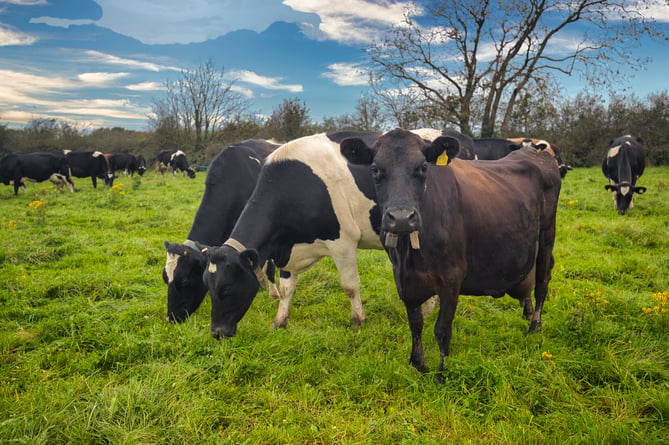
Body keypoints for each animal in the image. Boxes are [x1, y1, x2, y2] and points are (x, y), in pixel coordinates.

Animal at [340, 127, 564, 378]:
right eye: (375, 168)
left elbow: (442, 329)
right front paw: (418, 364)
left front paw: (442, 372)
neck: (410, 255)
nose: (401, 217)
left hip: (547, 236)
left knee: (542, 284)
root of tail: (535, 152)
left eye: (423, 167)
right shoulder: (403, 278)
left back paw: (535, 327)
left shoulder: (452, 277)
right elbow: (415, 323)